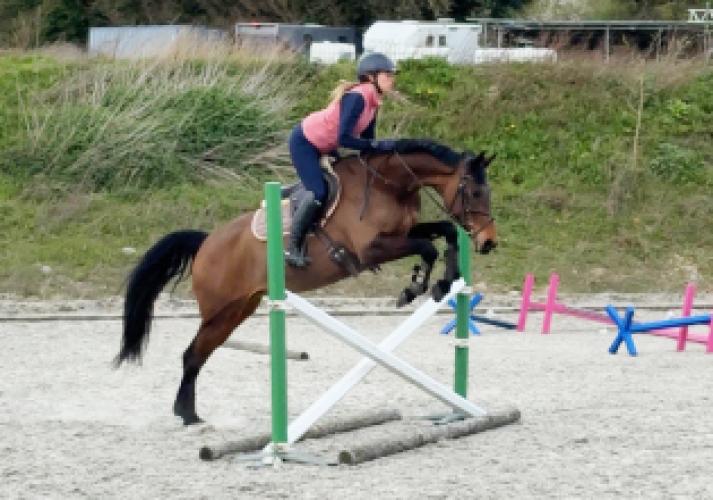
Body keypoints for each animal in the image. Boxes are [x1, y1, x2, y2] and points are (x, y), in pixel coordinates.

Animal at [116, 139, 498, 425]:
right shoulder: (371, 249)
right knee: (192, 354)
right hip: (220, 311)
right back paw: (188, 414)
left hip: (239, 309)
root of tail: (207, 241)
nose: (489, 242)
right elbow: (427, 246)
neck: (389, 183)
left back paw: (187, 412)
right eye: (475, 193)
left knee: (198, 353)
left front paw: (445, 278)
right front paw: (417, 286)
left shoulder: (402, 233)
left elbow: (445, 231)